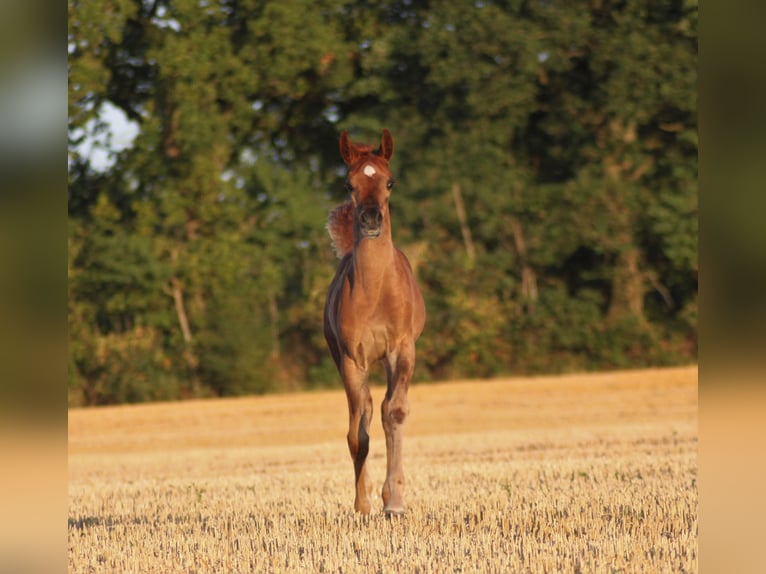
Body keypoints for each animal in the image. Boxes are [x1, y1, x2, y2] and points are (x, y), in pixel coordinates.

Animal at [324, 130, 428, 516]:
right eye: (348, 183)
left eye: (390, 181)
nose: (370, 219)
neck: (377, 291)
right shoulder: (352, 359)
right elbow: (358, 433)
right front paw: (363, 503)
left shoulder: (402, 348)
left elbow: (394, 412)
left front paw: (394, 503)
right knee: (364, 414)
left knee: (382, 410)